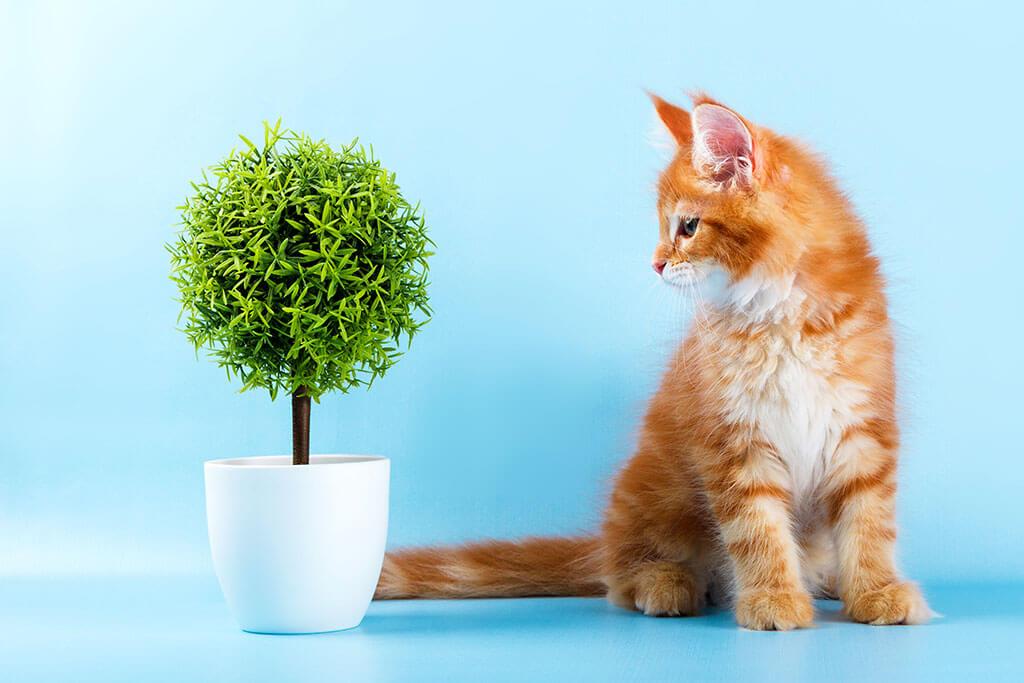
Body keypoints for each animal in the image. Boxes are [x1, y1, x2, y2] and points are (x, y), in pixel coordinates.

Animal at [378, 92, 937, 630]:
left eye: (687, 226)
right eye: (663, 228)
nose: (656, 263)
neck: (780, 315)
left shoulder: (863, 428)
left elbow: (869, 523)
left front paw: (876, 592)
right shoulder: (732, 440)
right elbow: (757, 531)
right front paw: (773, 599)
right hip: (656, 497)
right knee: (622, 576)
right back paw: (666, 584)